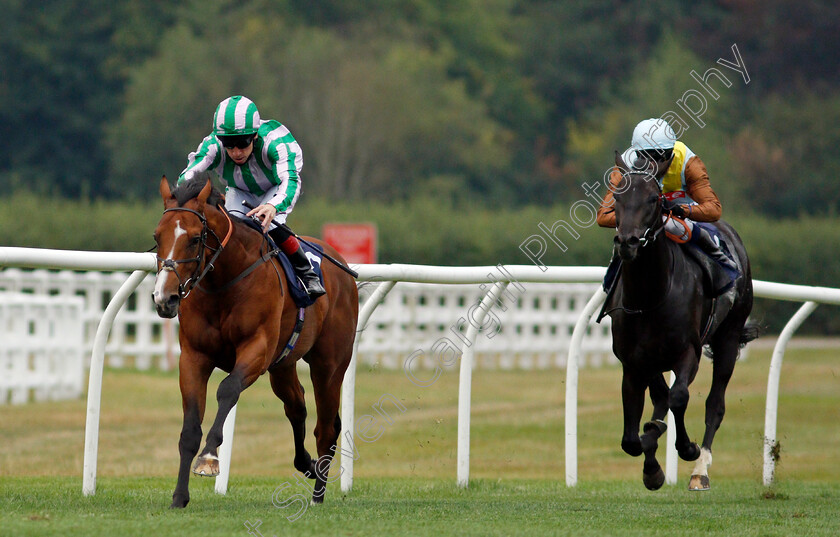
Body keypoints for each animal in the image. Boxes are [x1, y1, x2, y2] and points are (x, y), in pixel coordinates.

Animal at [154, 177, 358, 506]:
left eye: (196, 239)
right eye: (156, 236)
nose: (165, 298)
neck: (224, 282)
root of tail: (339, 263)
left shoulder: (256, 350)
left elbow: (227, 390)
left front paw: (209, 458)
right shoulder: (194, 357)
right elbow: (190, 428)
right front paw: (179, 496)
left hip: (329, 364)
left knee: (326, 426)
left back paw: (318, 494)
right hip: (283, 365)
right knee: (296, 406)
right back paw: (308, 465)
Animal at [600, 152, 756, 490]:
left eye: (653, 199)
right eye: (617, 198)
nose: (628, 242)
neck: (648, 298)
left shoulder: (689, 352)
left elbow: (679, 397)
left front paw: (686, 448)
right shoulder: (634, 362)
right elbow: (631, 437)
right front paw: (652, 465)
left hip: (728, 337)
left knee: (714, 405)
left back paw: (700, 470)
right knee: (660, 400)